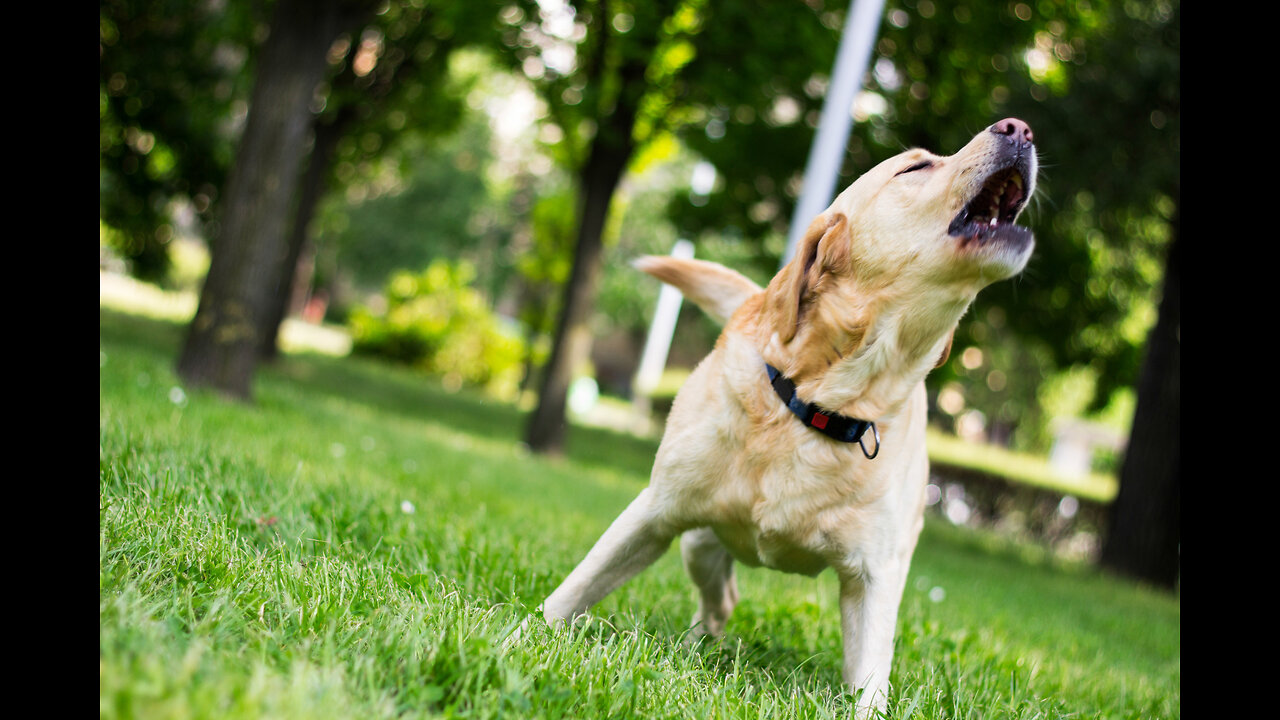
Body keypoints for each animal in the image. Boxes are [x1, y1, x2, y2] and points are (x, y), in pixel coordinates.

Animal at [545, 117, 1034, 712]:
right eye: (916, 167)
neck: (821, 407)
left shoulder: (875, 579)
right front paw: (521, 638)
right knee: (719, 595)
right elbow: (570, 593)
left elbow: (871, 685)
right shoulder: (654, 513)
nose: (1021, 128)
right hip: (697, 542)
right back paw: (697, 643)